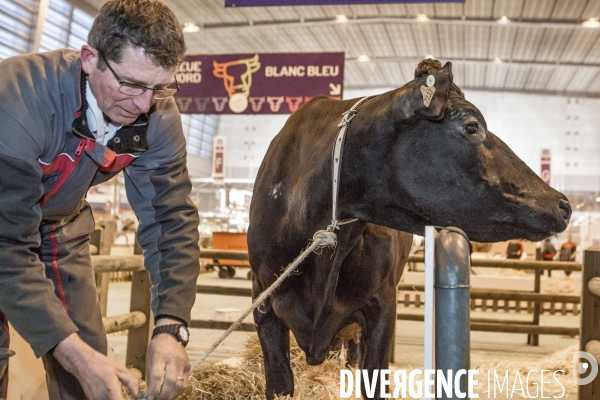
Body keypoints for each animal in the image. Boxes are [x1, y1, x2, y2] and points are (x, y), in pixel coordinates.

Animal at [245, 57, 572, 398]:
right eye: (472, 126)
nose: (563, 204)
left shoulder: (382, 305)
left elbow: (374, 379)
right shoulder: (263, 302)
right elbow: (280, 382)